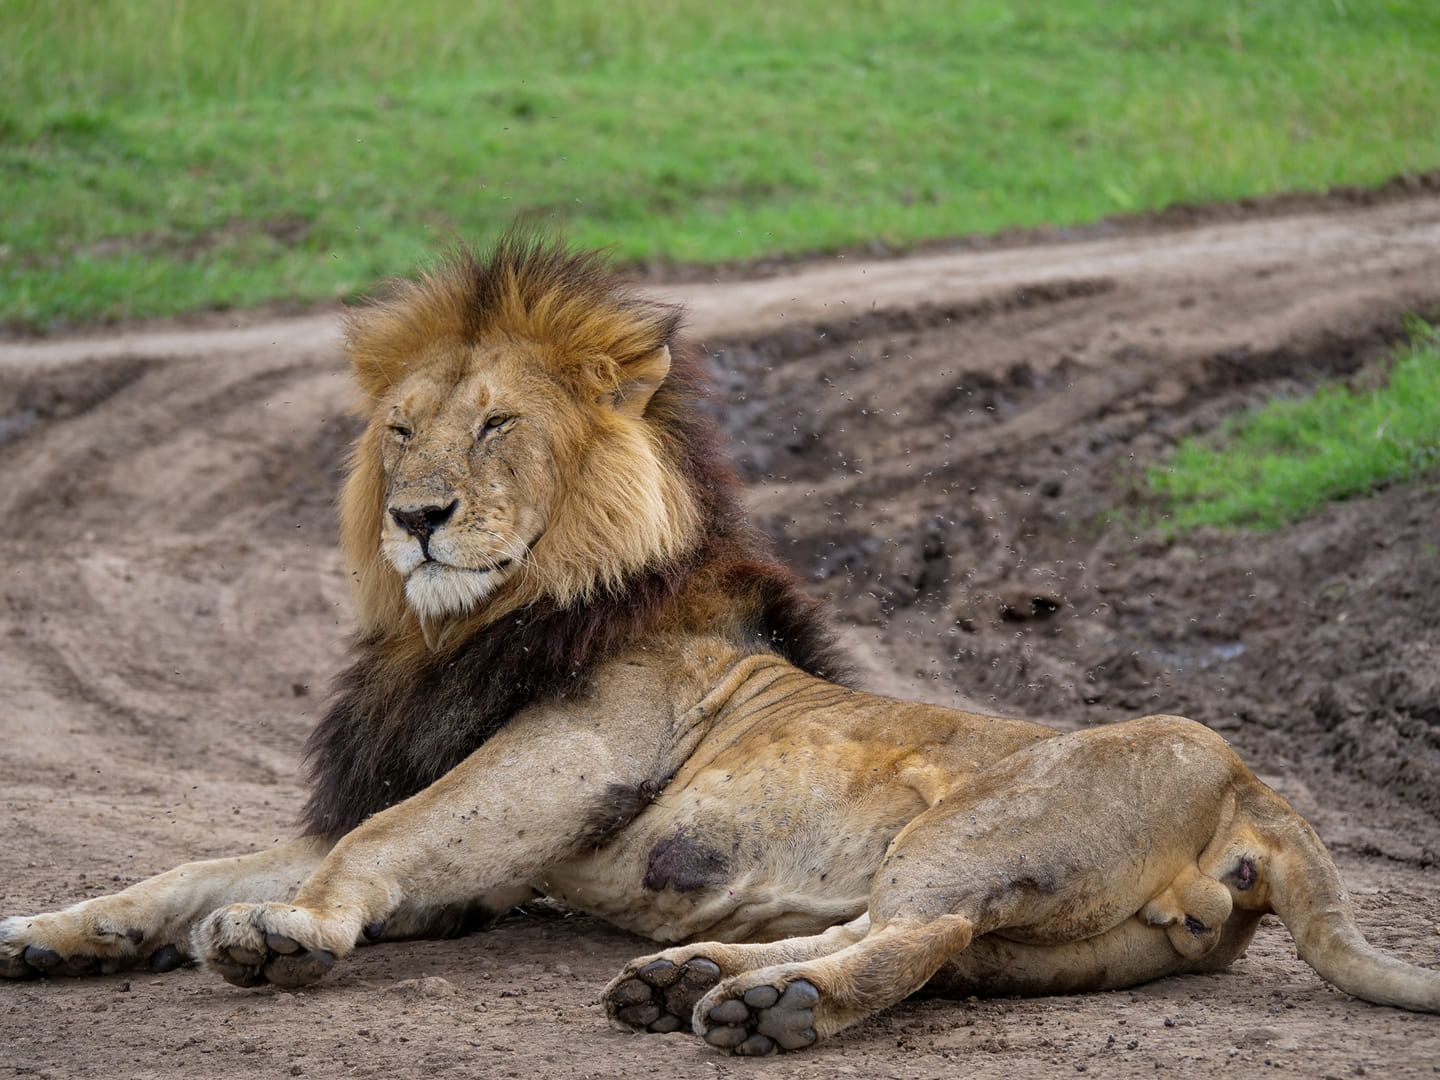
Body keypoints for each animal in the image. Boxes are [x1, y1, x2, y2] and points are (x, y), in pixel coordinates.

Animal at [2, 233, 1440, 1054]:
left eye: (495, 427)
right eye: (402, 431)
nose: (416, 519)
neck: (466, 625)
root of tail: (1255, 790)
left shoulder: (566, 764)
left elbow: (373, 845)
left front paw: (284, 933)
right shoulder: (469, 844)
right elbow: (185, 869)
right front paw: (51, 936)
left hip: (979, 828)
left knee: (919, 934)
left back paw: (761, 1013)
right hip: (1065, 937)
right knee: (937, 948)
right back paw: (697, 980)